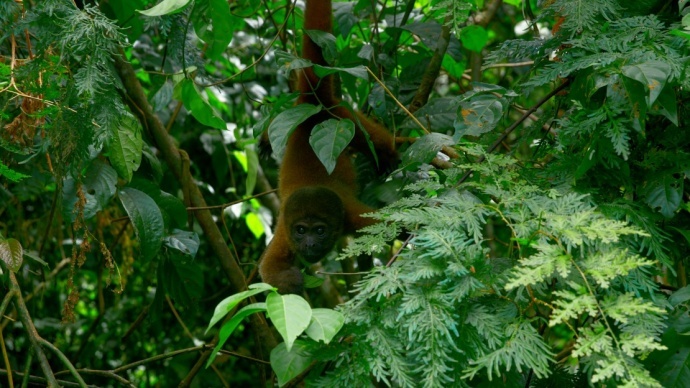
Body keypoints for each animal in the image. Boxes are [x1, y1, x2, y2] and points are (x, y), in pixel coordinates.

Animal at [256, 0, 398, 292]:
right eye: (301, 230)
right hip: (299, 114)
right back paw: (265, 136)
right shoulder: (285, 231)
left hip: (341, 117)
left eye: (319, 230)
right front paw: (294, 283)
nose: (309, 244)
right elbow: (269, 267)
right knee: (279, 118)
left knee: (374, 140)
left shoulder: (352, 215)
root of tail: (315, 100)